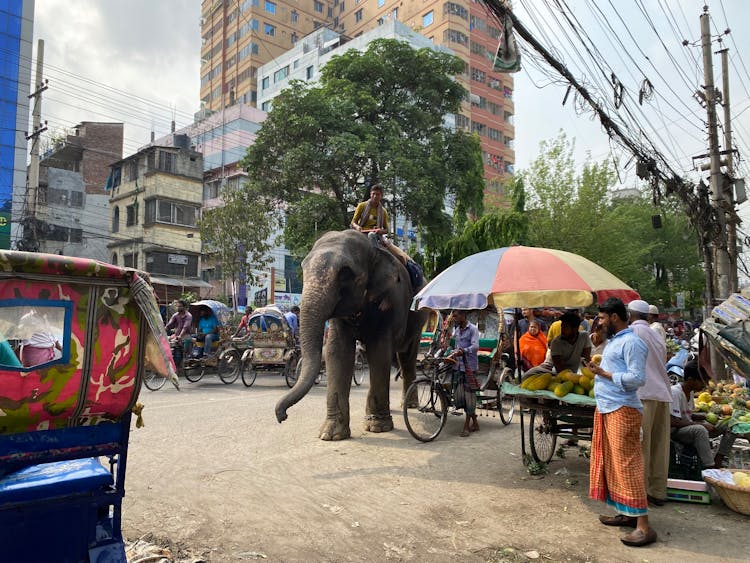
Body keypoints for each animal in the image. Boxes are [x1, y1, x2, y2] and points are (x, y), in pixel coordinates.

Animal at [276, 229, 428, 440]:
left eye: (345, 273)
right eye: (303, 268)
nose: (282, 416)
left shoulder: (391, 300)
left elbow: (379, 351)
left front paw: (377, 427)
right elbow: (337, 352)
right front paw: (331, 435)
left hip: (419, 318)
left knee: (406, 357)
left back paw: (410, 405)